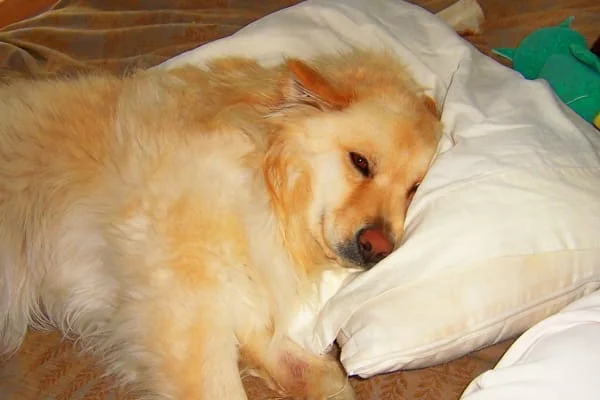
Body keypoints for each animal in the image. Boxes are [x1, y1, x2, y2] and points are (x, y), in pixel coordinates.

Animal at [0, 48, 441, 399]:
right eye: (360, 162)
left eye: (414, 189)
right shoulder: (183, 301)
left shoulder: (235, 287)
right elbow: (222, 381)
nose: (379, 247)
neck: (264, 173)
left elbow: (311, 367)